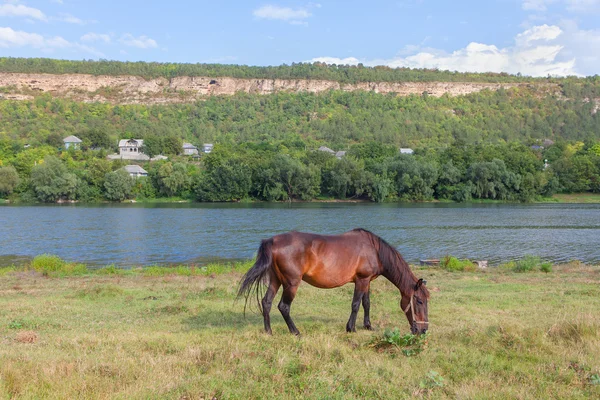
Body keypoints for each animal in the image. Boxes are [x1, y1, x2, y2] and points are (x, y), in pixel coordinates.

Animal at [237, 228, 428, 334]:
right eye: (419, 301)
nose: (423, 330)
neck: (374, 250)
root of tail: (272, 241)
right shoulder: (361, 280)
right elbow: (356, 304)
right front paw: (351, 328)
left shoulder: (367, 282)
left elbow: (366, 303)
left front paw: (368, 326)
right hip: (291, 283)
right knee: (283, 307)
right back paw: (295, 332)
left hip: (275, 280)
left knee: (266, 302)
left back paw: (268, 331)